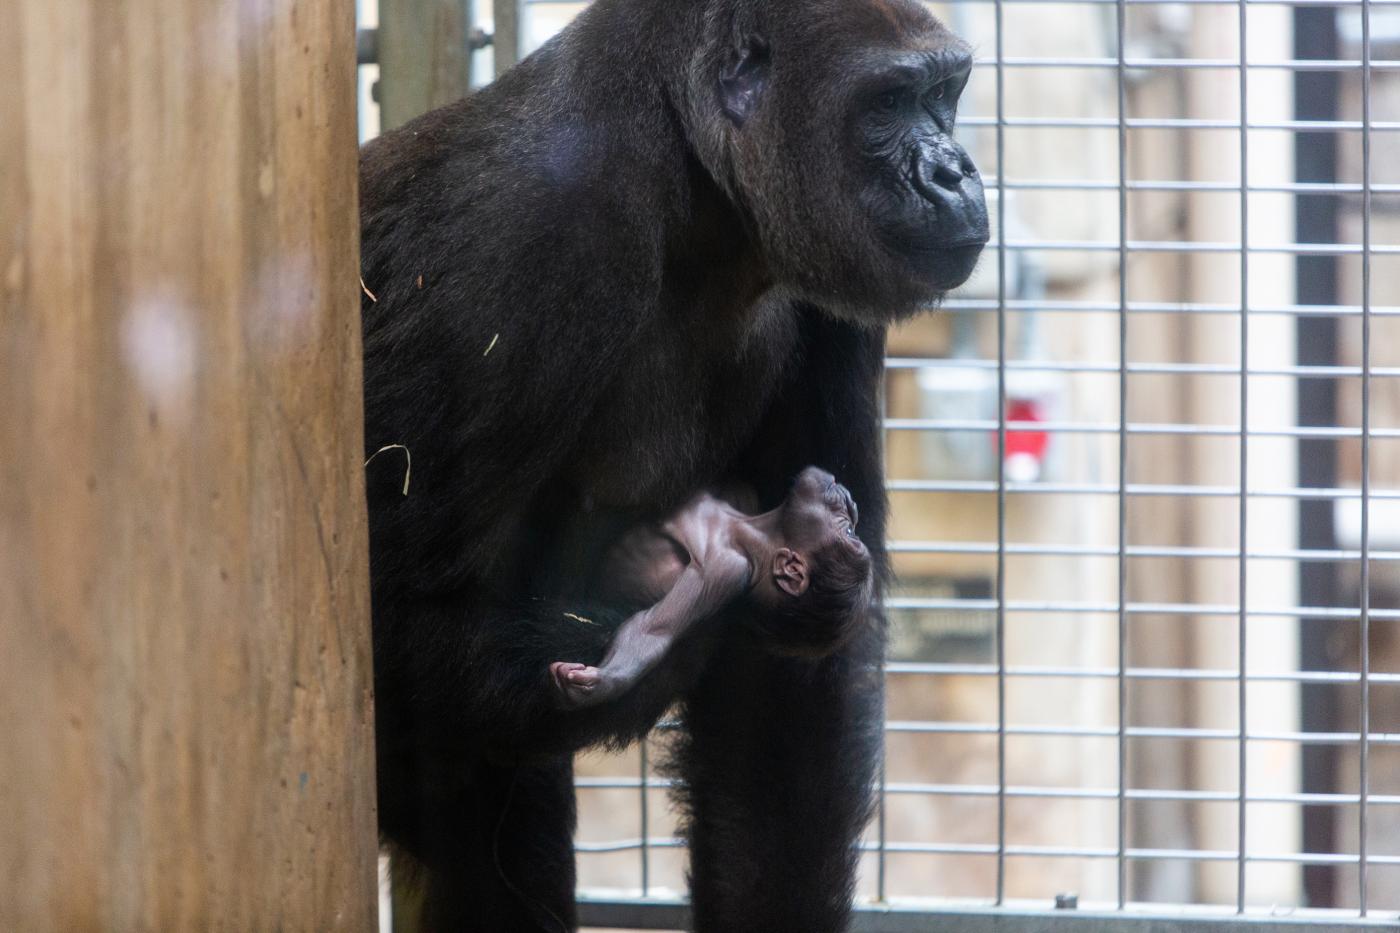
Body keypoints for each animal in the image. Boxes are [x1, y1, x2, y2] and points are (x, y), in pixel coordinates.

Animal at [548, 465, 868, 706]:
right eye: (851, 531)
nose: (853, 505)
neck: (744, 529)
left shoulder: (722, 571)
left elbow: (650, 630)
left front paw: (600, 684)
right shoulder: (742, 502)